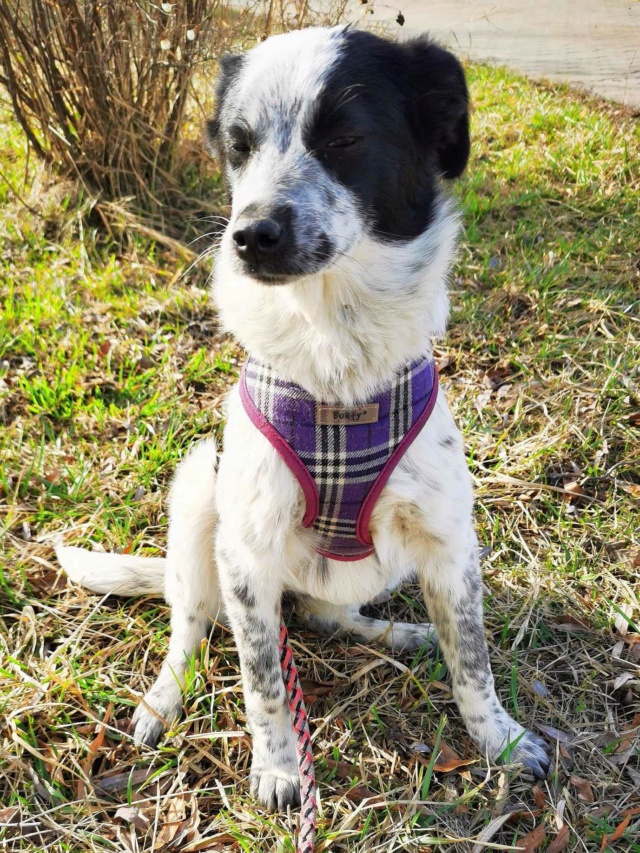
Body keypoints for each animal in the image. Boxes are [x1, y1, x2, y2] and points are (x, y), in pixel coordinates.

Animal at [58, 25, 552, 812]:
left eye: (345, 137)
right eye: (237, 145)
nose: (250, 233)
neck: (335, 363)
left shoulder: (450, 543)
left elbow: (472, 660)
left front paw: (499, 738)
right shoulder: (246, 553)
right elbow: (262, 679)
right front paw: (281, 768)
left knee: (330, 613)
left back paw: (395, 632)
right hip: (198, 492)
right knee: (189, 624)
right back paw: (163, 699)